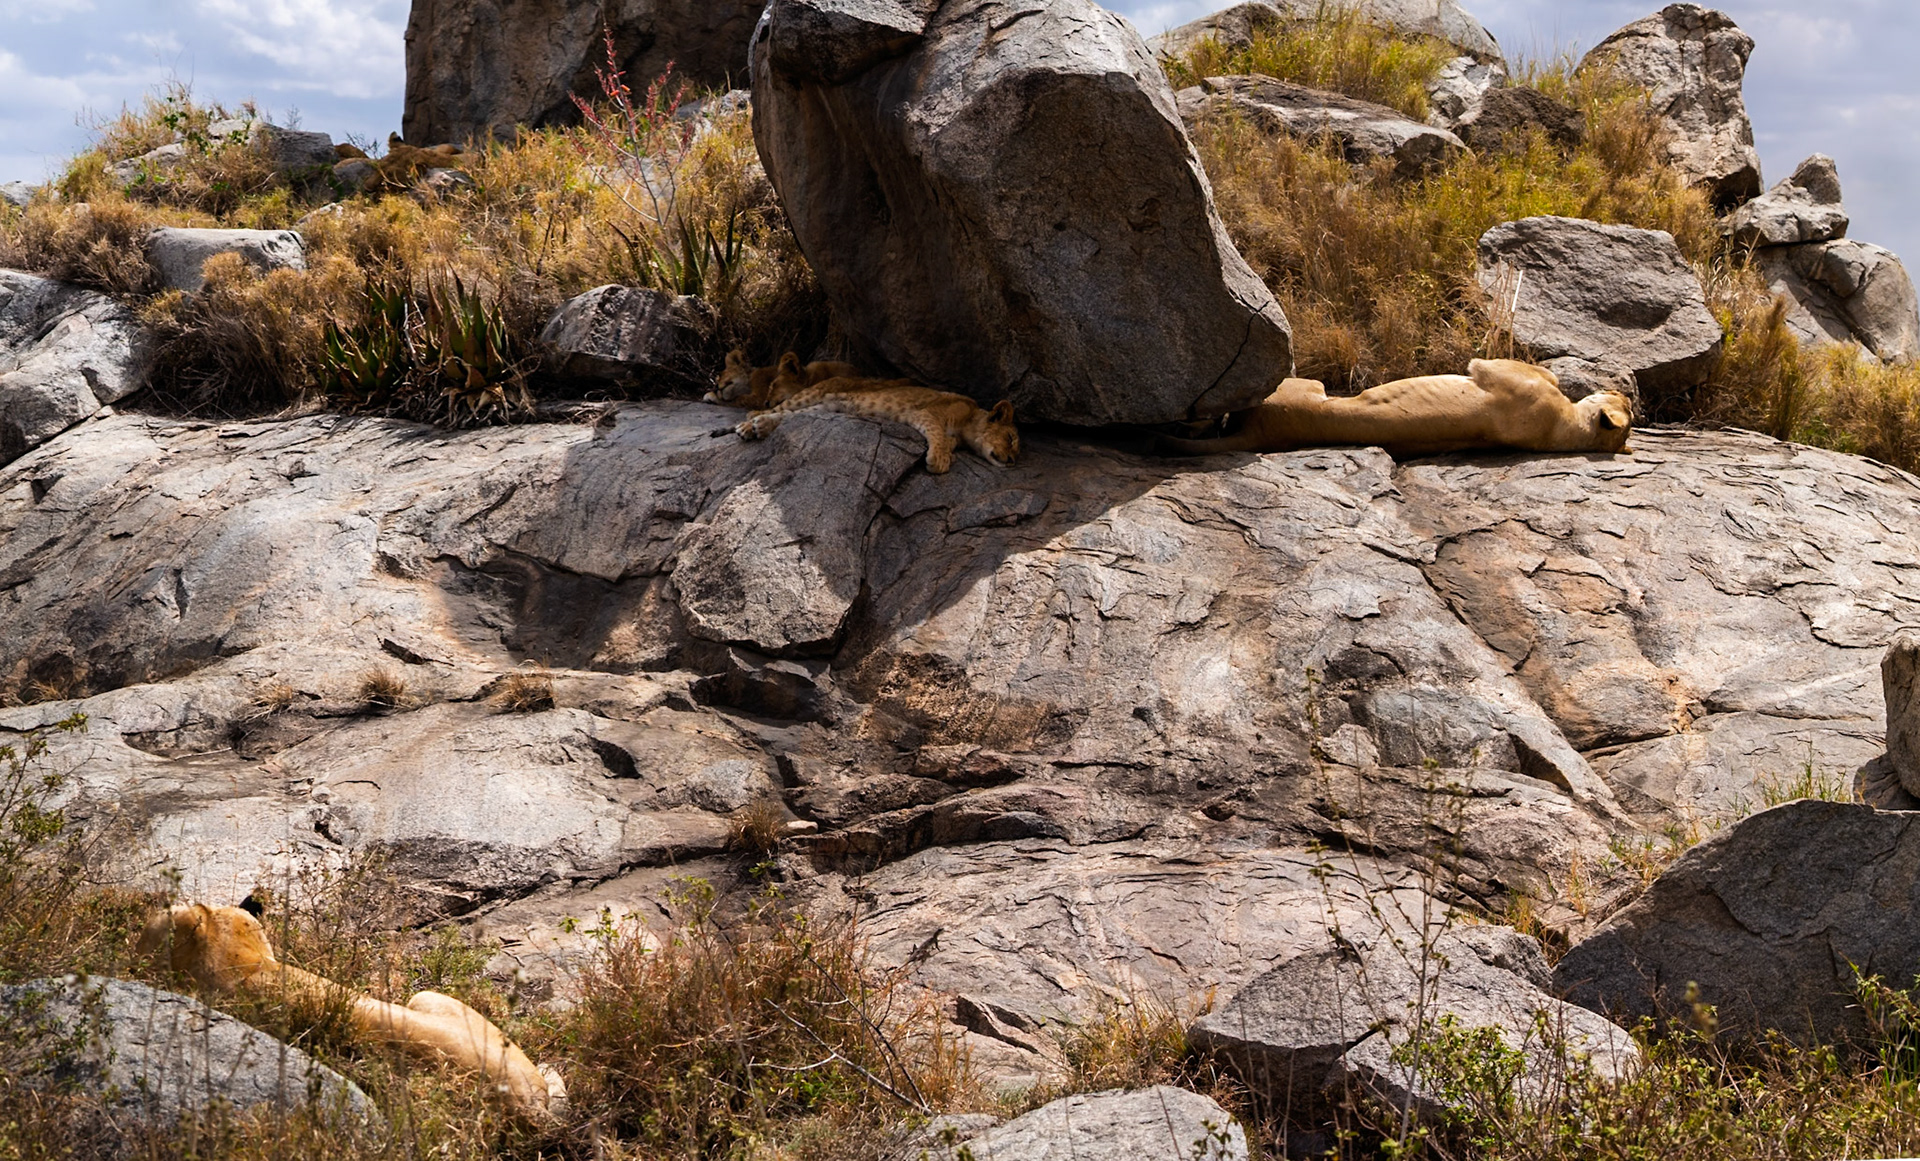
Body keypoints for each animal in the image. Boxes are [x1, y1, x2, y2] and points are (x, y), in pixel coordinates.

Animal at [736, 363, 1019, 474]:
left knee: (789, 417)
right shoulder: (926, 412)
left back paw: (757, 427)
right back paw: (750, 421)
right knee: (781, 408)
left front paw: (947, 453)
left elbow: (947, 441)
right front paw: (938, 460)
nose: (1012, 461)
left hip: (826, 409)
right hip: (812, 394)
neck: (969, 422)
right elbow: (938, 433)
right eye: (1010, 438)